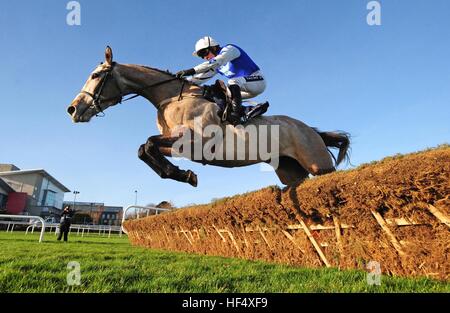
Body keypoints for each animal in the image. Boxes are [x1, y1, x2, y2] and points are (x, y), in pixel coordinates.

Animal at [67, 46, 350, 186]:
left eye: (95, 75)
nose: (72, 109)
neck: (174, 97)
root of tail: (311, 130)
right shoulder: (179, 146)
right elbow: (144, 148)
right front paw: (180, 174)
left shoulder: (197, 142)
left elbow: (148, 143)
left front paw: (184, 175)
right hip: (291, 172)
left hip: (318, 165)